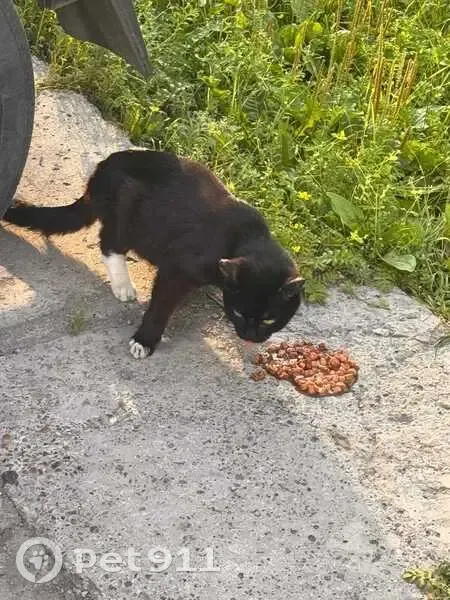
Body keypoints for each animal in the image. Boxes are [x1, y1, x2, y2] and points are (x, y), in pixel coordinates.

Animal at [3, 150, 304, 358]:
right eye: (240, 313)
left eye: (270, 318)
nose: (250, 336)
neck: (246, 237)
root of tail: (98, 174)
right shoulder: (177, 269)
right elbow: (161, 304)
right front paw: (145, 340)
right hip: (126, 208)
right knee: (109, 243)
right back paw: (123, 286)